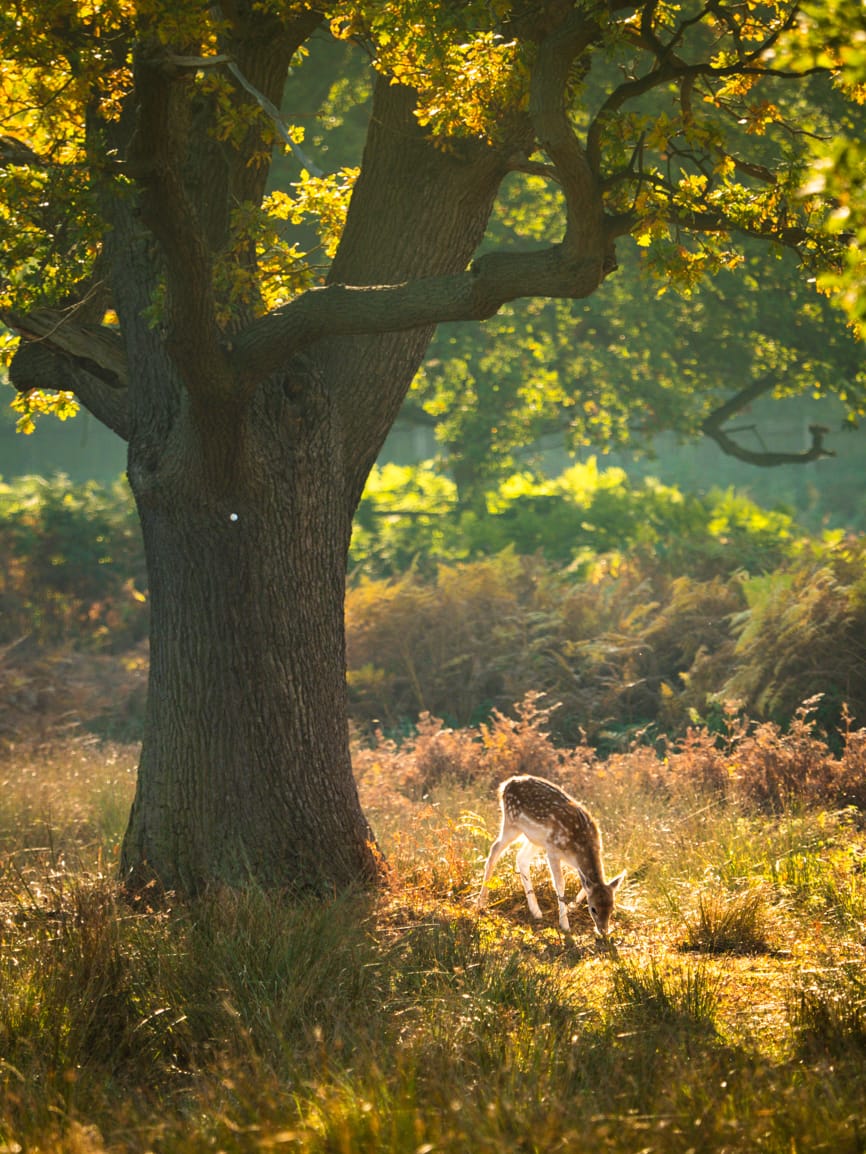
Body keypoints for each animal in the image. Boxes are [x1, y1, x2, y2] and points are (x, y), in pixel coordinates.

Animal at [476, 774, 626, 935]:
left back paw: (536, 911)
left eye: (612, 908)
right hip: (512, 823)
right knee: (494, 850)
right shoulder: (553, 851)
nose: (603, 931)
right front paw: (564, 924)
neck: (579, 848)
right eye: (593, 909)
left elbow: (584, 886)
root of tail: (505, 785)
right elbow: (559, 883)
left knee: (521, 858)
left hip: (536, 839)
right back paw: (481, 902)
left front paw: (571, 907)